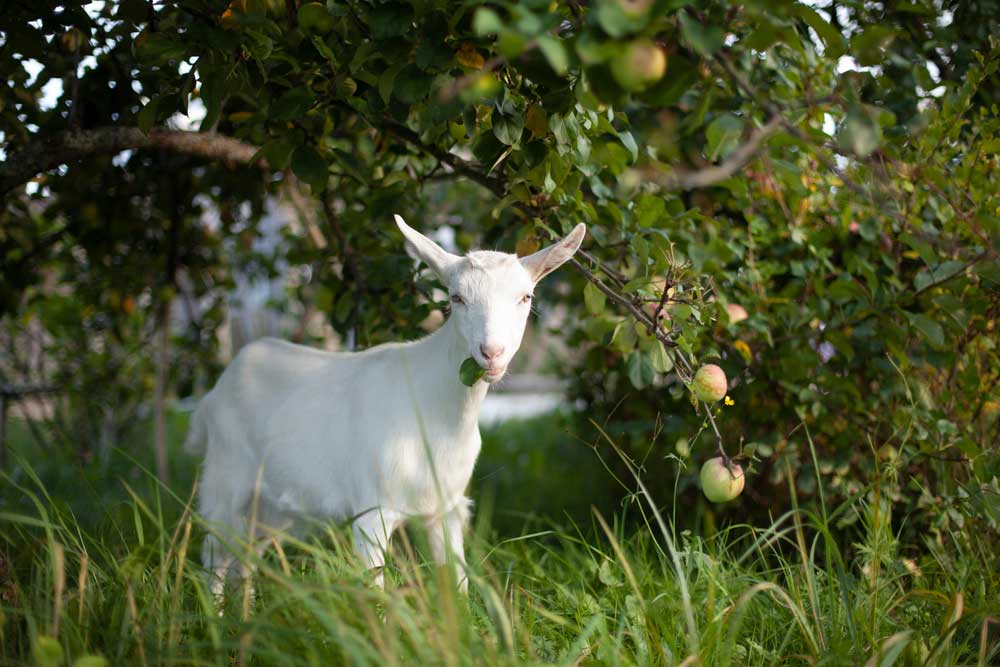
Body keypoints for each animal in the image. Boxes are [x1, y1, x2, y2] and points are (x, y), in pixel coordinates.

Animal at [186, 217, 584, 592]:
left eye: (526, 297)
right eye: (456, 297)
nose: (492, 353)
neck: (437, 412)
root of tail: (217, 389)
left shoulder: (447, 508)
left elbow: (457, 582)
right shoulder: (371, 510)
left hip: (271, 506)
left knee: (245, 558)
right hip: (225, 478)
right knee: (214, 557)